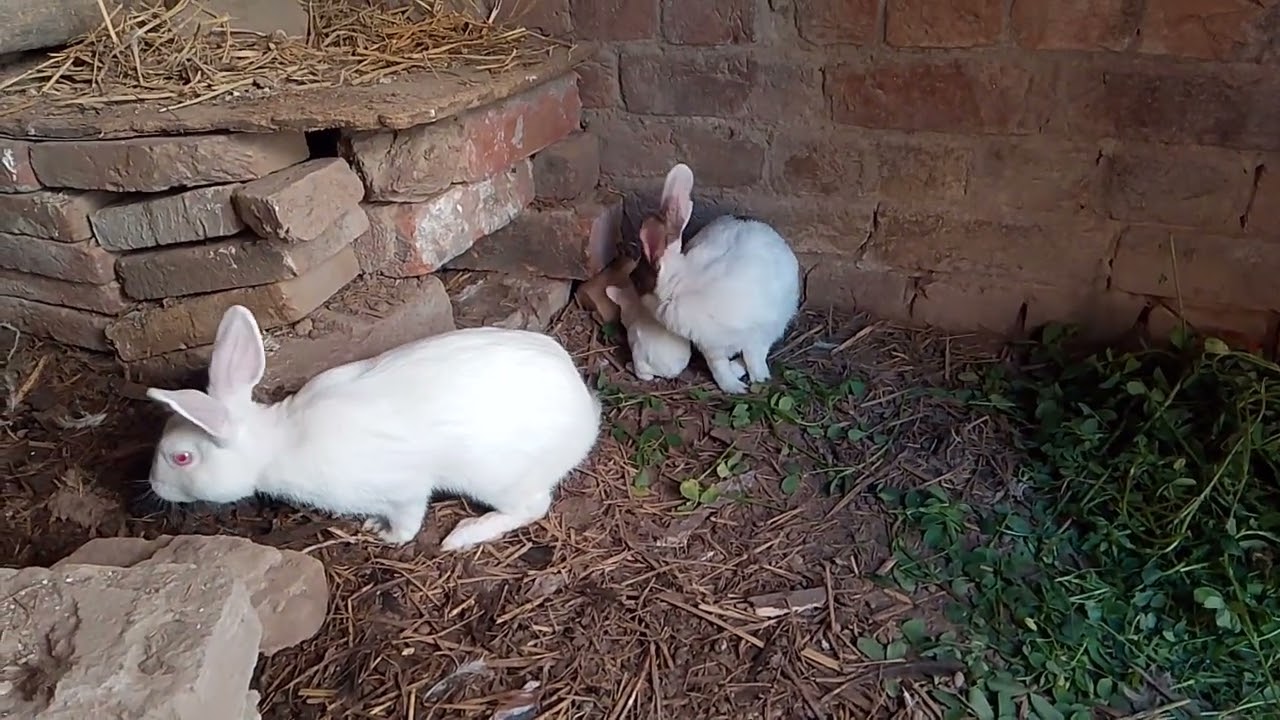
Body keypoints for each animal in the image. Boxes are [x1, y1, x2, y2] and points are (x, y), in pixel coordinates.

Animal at [142, 304, 602, 552]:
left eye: (181, 457)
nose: (155, 486)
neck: (278, 443)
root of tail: (584, 412)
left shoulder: (403, 490)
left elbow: (407, 520)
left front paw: (384, 534)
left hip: (499, 478)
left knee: (531, 507)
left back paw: (463, 534)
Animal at [639, 162, 801, 394]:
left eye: (639, 278)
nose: (631, 279)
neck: (680, 283)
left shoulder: (757, 332)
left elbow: (753, 356)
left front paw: (757, 379)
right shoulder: (711, 346)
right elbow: (718, 366)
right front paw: (733, 387)